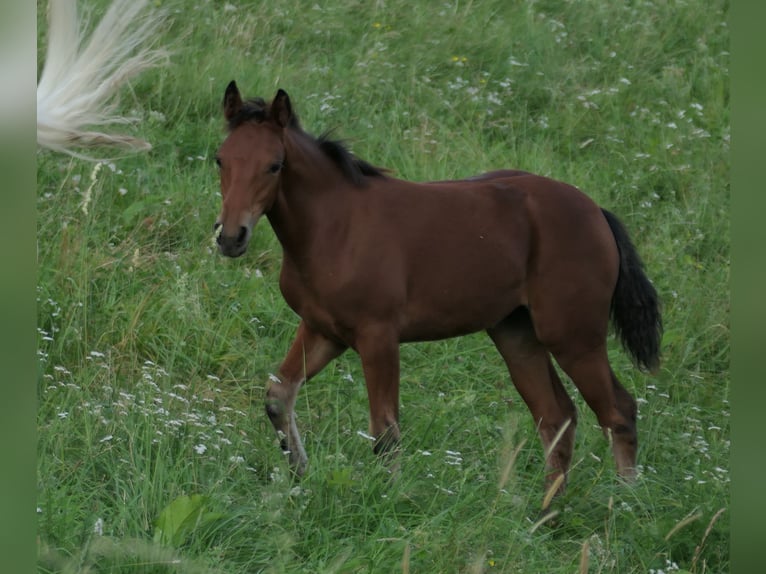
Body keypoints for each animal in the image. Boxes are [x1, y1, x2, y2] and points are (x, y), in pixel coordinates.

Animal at [213, 81, 662, 496]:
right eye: (220, 159)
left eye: (275, 165)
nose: (231, 237)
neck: (334, 227)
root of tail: (597, 213)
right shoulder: (323, 329)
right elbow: (279, 396)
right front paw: (299, 478)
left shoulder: (378, 336)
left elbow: (385, 431)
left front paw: (388, 500)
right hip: (517, 335)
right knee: (556, 417)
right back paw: (543, 516)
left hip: (574, 337)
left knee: (618, 412)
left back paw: (624, 507)